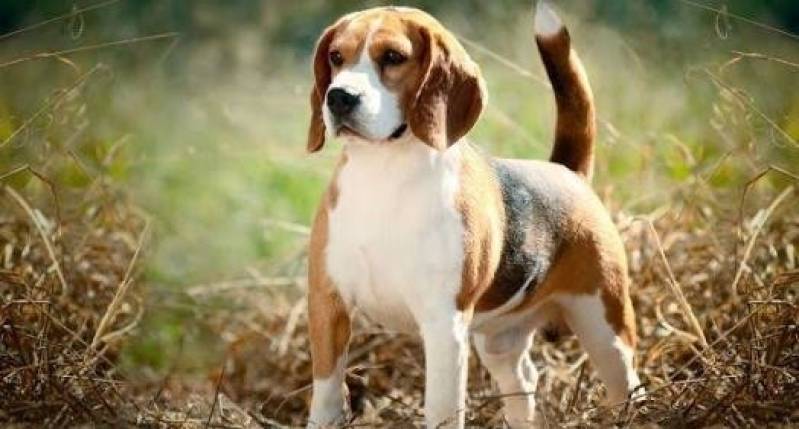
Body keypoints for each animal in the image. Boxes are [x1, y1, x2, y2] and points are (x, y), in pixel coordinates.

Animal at [306, 3, 644, 428]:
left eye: (393, 57)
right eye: (336, 57)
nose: (338, 98)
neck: (384, 174)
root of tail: (566, 171)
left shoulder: (443, 324)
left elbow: (441, 409)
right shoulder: (327, 306)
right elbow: (326, 398)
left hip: (604, 328)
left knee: (627, 383)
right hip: (500, 341)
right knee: (523, 379)